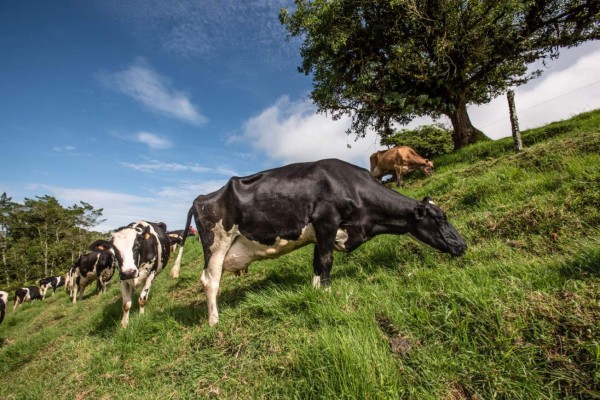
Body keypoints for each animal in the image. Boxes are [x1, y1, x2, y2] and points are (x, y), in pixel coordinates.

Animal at [180, 158, 466, 326]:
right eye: (440, 218)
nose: (462, 245)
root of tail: (202, 197)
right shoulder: (326, 221)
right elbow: (327, 261)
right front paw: (328, 294)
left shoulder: (320, 233)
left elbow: (317, 263)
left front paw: (316, 291)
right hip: (217, 244)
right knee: (210, 280)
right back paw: (214, 320)